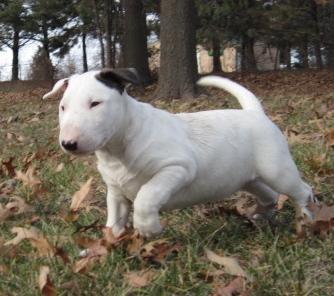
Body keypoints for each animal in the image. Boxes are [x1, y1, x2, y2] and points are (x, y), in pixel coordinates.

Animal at [42, 68, 316, 237]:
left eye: (95, 103)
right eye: (63, 107)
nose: (68, 143)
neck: (119, 147)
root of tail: (254, 113)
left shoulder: (176, 168)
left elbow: (146, 196)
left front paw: (148, 228)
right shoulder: (116, 192)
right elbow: (114, 222)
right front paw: (104, 249)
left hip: (276, 169)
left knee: (302, 191)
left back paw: (306, 220)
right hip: (247, 178)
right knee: (269, 194)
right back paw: (262, 216)